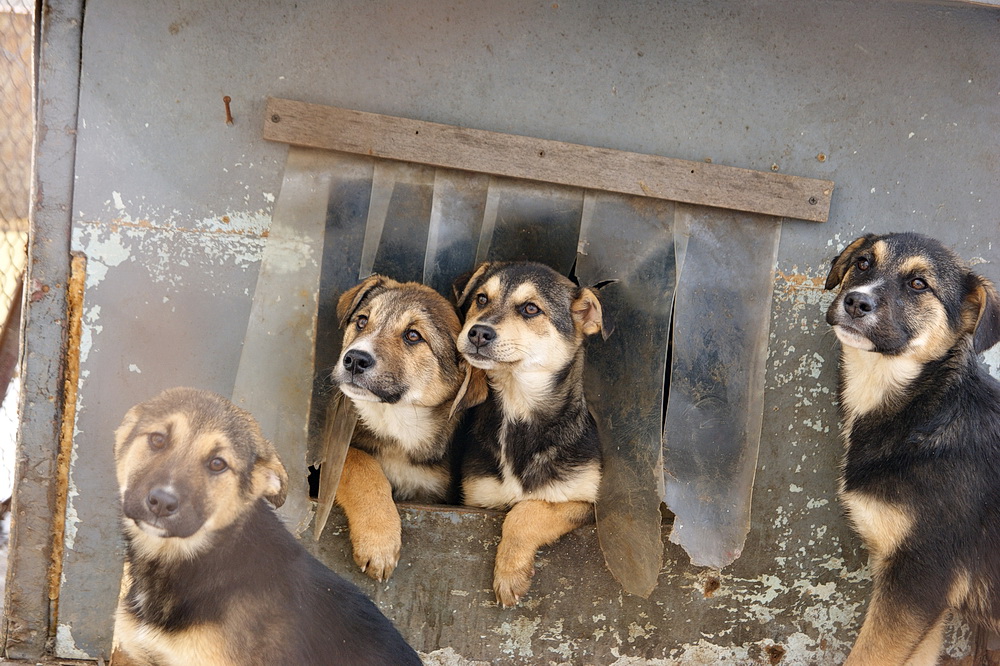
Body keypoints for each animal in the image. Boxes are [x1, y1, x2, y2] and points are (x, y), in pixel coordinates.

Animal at [452, 260, 600, 608]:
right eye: (481, 299)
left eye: (531, 308)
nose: (478, 332)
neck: (518, 408)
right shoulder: (477, 502)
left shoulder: (587, 502)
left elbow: (527, 511)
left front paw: (509, 573)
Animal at [824, 231, 1000, 660]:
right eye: (863, 263)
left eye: (919, 284)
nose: (855, 301)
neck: (928, 411)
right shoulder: (923, 600)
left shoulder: (920, 574)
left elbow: (866, 657)